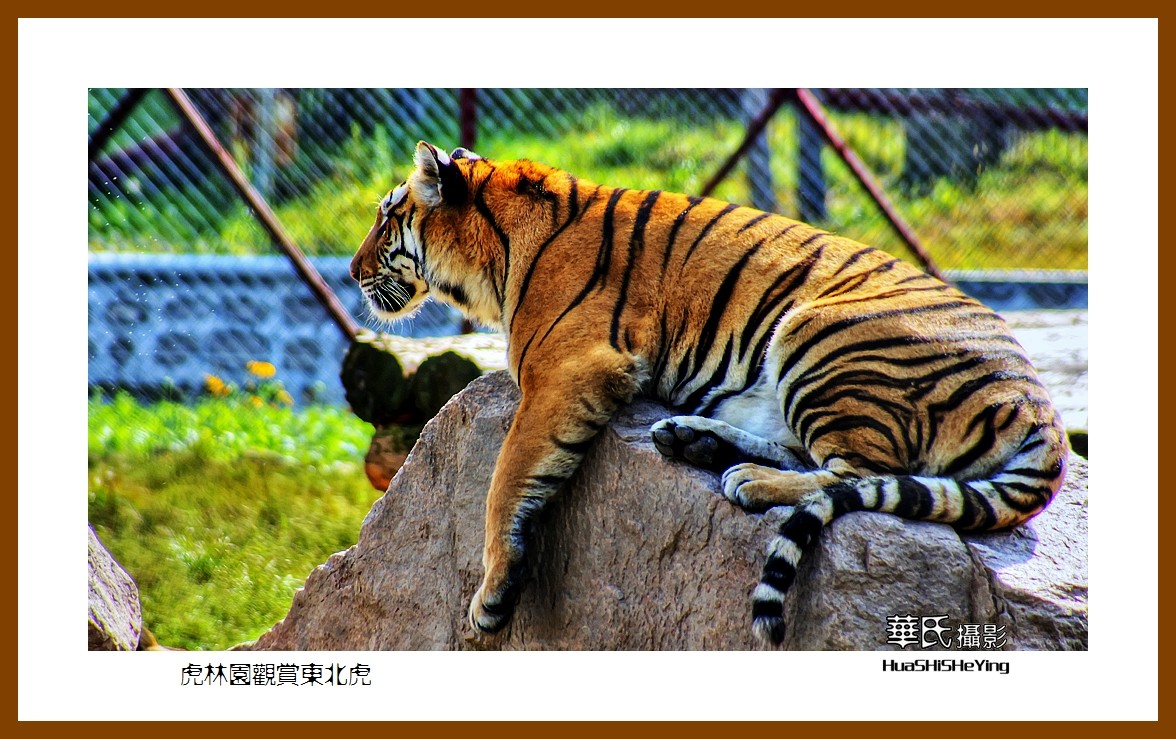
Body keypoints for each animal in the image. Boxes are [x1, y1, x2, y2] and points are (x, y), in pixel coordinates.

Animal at [349, 141, 1069, 647]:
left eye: (387, 217)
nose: (352, 272)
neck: (496, 257)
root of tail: (1046, 416)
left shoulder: (566, 369)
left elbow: (505, 479)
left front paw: (492, 596)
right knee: (813, 455)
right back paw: (692, 440)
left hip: (822, 336)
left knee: (857, 472)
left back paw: (743, 477)